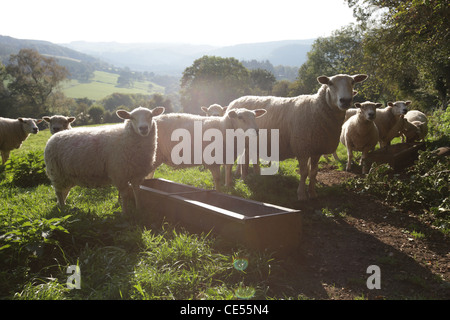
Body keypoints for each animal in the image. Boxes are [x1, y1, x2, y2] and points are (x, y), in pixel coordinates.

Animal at [227, 73, 368, 200]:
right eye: (331, 83)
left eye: (352, 82)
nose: (345, 101)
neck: (316, 108)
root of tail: (235, 101)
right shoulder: (302, 148)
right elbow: (304, 172)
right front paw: (301, 195)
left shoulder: (316, 149)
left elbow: (313, 172)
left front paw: (312, 193)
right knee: (244, 161)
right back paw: (244, 179)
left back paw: (255, 176)